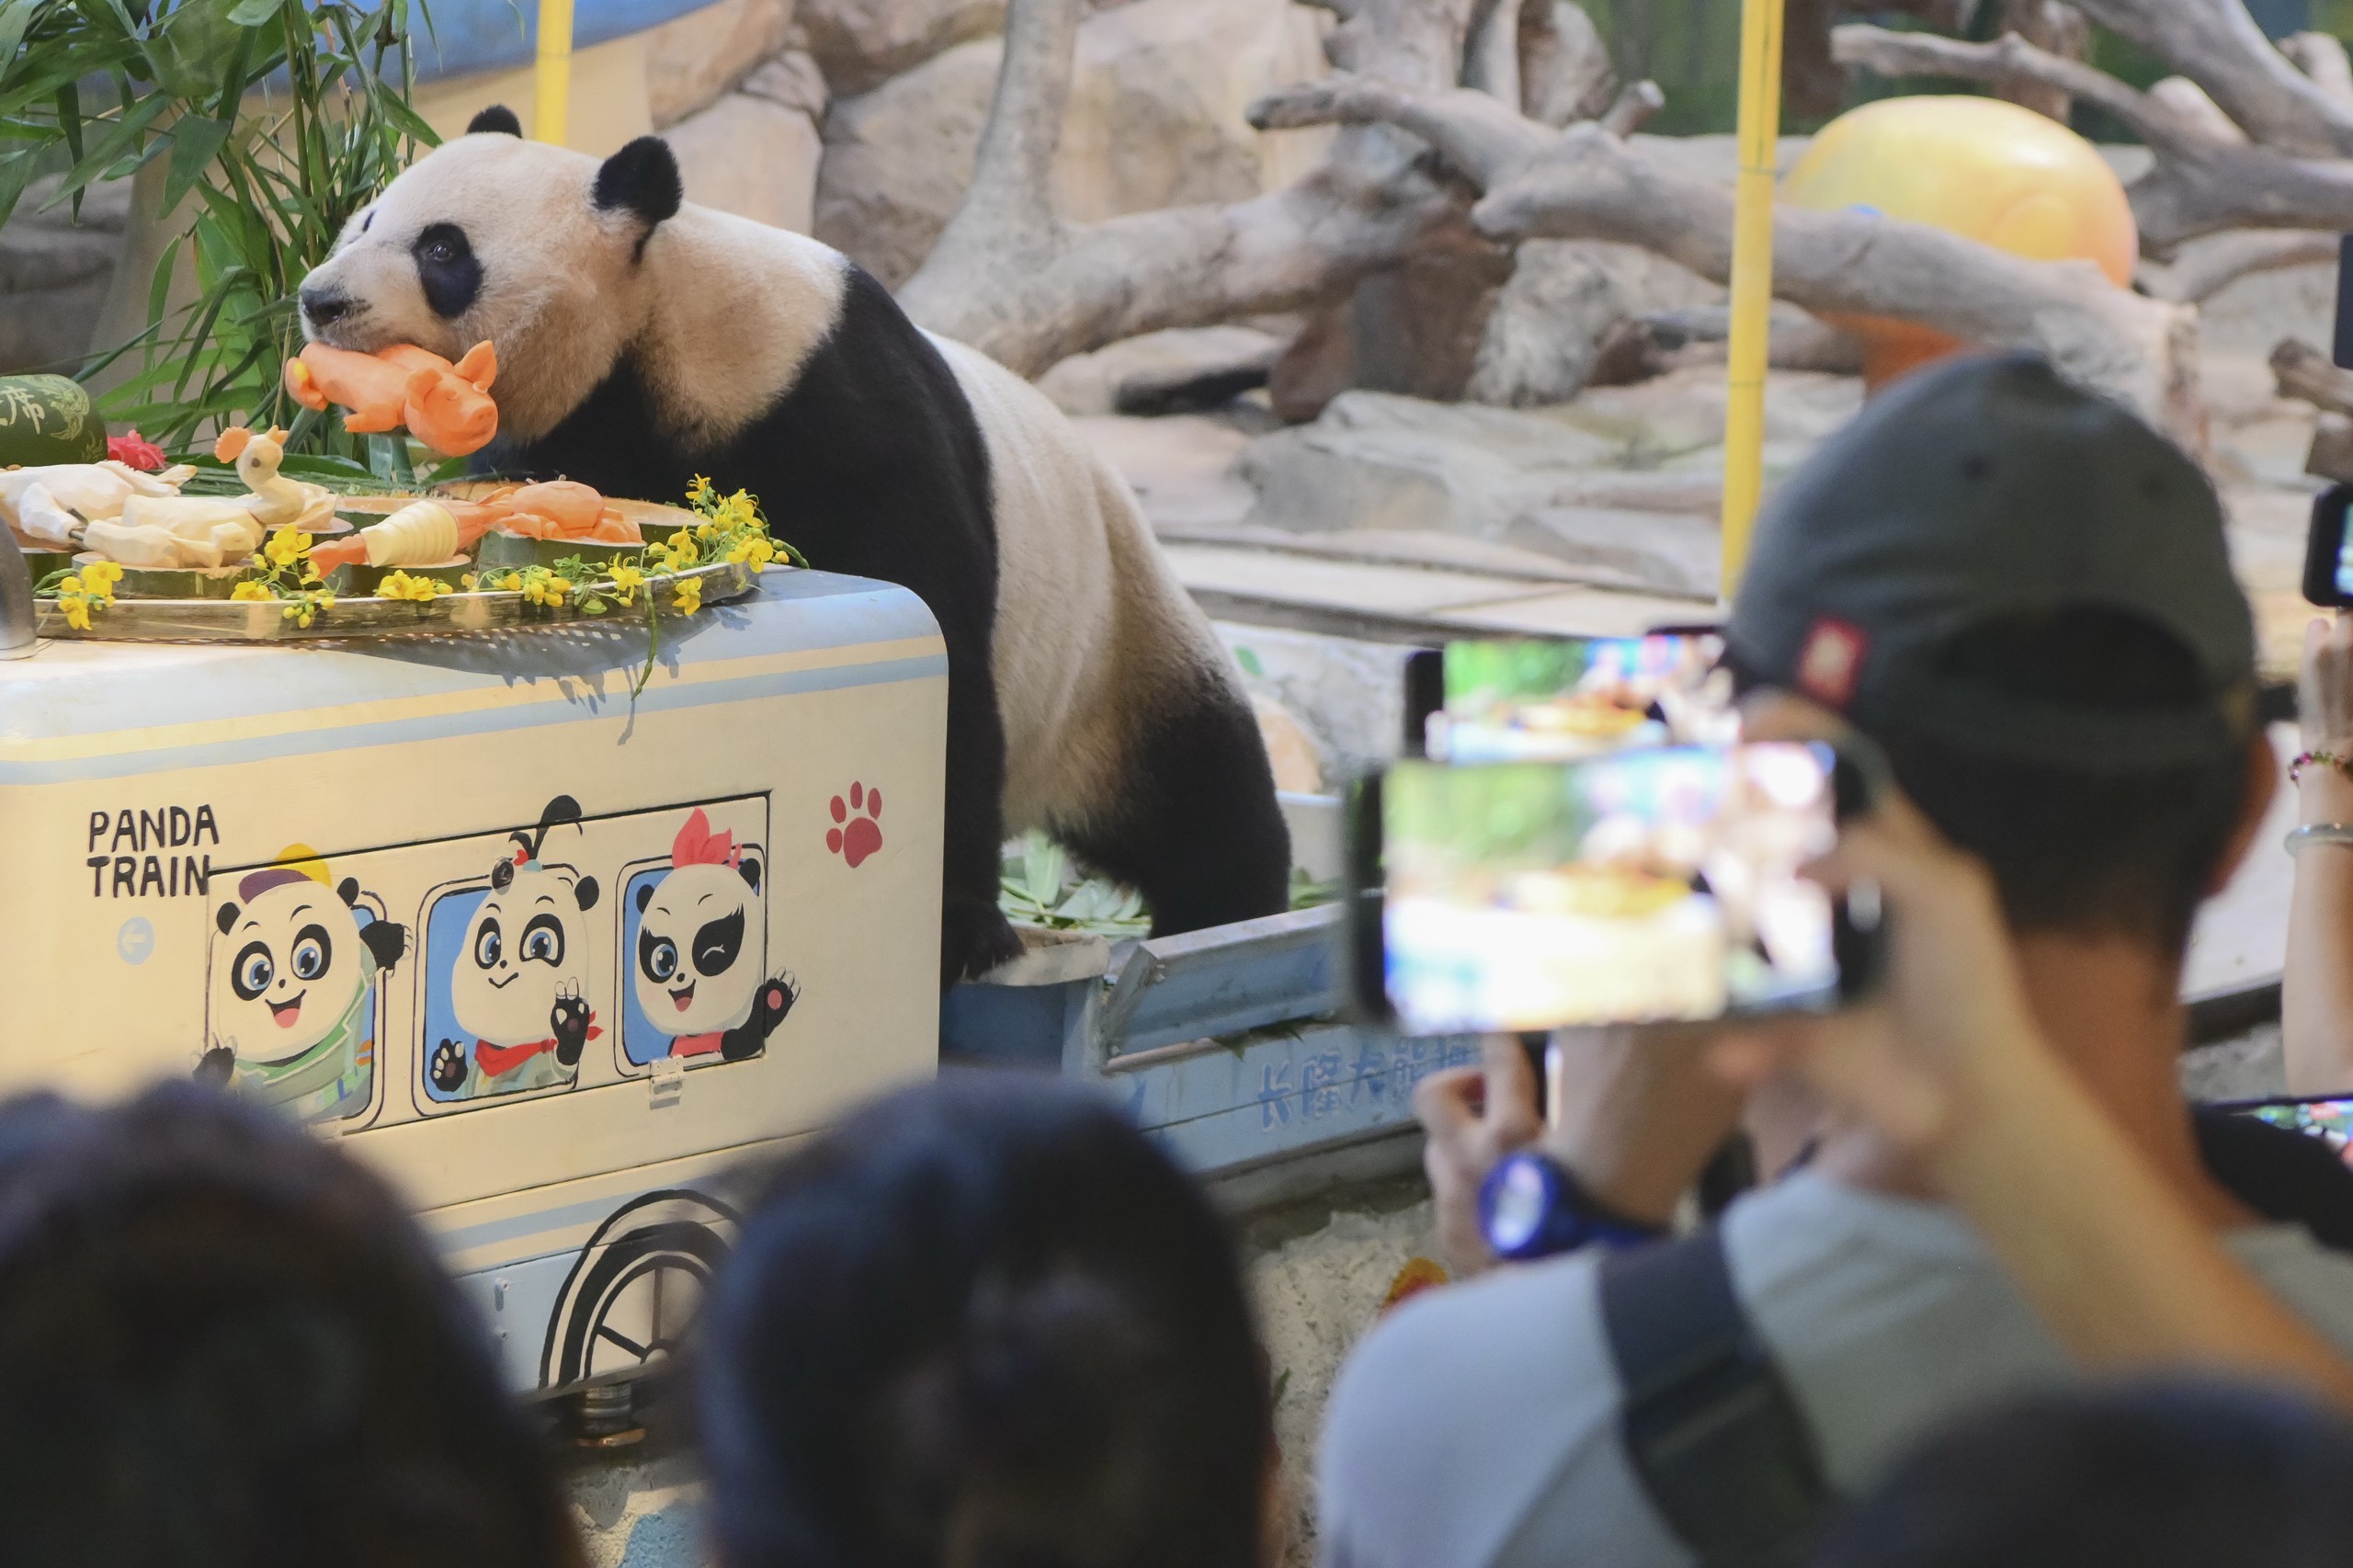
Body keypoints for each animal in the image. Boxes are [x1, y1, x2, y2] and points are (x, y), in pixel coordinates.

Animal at [296, 109, 1299, 979]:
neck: (652, 323)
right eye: (367, 219)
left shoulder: (828, 404)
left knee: (1199, 791)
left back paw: (1232, 912)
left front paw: (955, 930)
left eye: (442, 249)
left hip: (1117, 641)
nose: (320, 298)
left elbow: (942, 635)